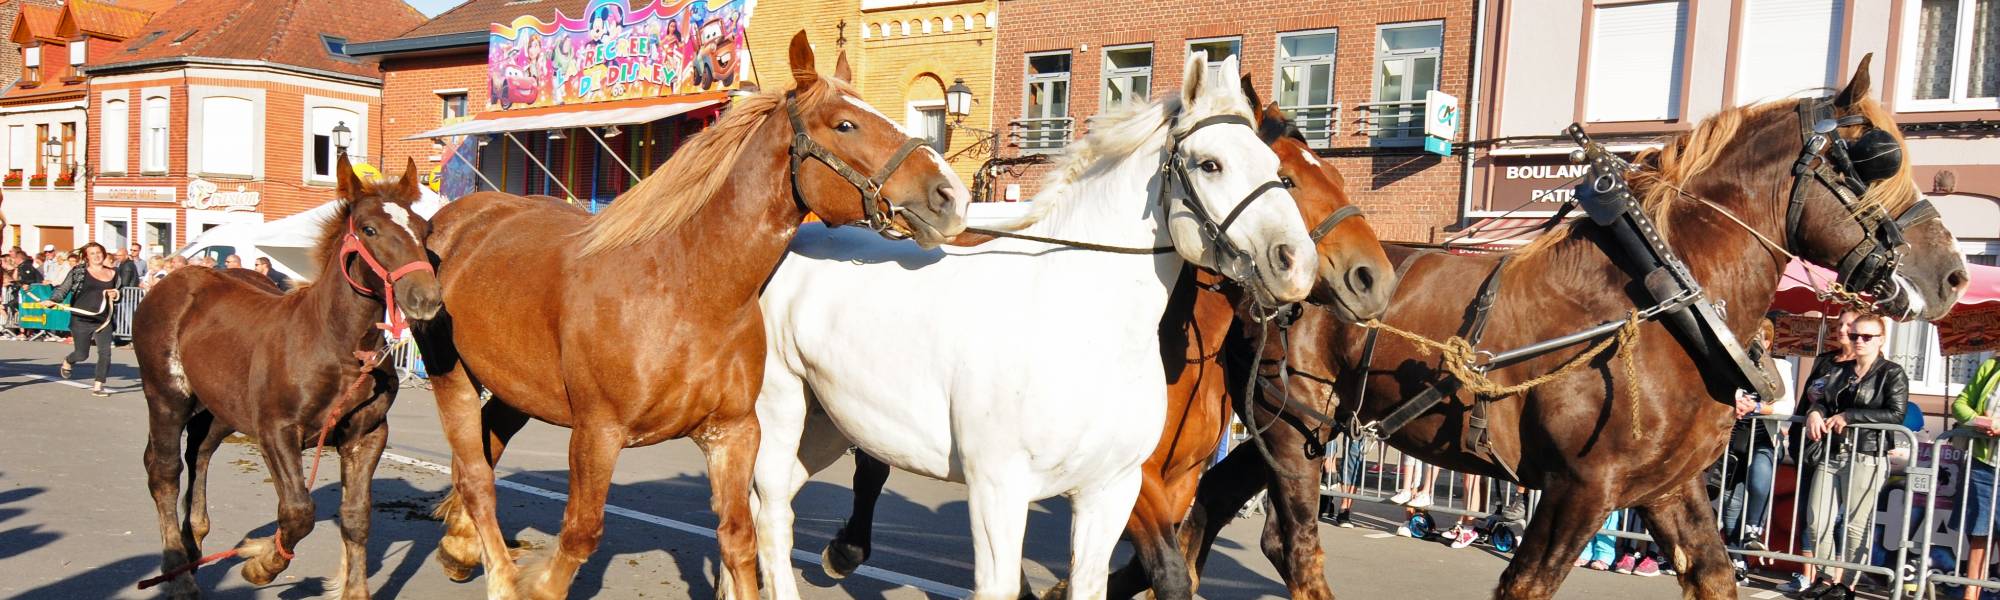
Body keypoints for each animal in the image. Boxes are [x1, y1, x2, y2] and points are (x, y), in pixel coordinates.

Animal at [136, 156, 442, 600]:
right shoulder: (277, 430)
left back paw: (194, 541)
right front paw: (262, 563)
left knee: (200, 452)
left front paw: (353, 590)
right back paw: (180, 575)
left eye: (423, 229)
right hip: (167, 395)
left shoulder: (367, 434)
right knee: (164, 471)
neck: (337, 346)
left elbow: (356, 517)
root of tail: (174, 278)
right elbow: (298, 512)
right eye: (369, 229)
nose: (427, 298)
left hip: (219, 408)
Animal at [414, 32, 968, 600]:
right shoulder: (597, 434)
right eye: (845, 125)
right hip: (452, 375)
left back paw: (460, 546)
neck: (687, 291)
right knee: (476, 476)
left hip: (517, 389)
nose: (950, 196)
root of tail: (456, 217)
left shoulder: (733, 434)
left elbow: (739, 539)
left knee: (488, 444)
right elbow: (580, 534)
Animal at [804, 81, 1400, 600]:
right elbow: (1166, 569)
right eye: (1291, 179)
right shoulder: (1138, 480)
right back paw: (845, 548)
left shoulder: (1173, 481)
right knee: (873, 461)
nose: (1374, 279)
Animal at [1176, 56, 1976, 600]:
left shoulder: (1668, 488)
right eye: (1873, 157)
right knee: (1293, 544)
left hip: (1298, 425)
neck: (1663, 299)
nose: (1954, 275)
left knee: (1217, 509)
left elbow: (1716, 576)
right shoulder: (1581, 488)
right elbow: (1525, 586)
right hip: (1289, 424)